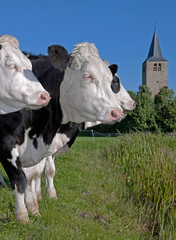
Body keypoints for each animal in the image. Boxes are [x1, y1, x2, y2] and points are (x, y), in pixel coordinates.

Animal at [0, 41, 133, 223]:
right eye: (88, 76)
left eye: (109, 79)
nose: (118, 111)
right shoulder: (7, 144)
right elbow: (22, 179)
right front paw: (23, 216)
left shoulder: (39, 146)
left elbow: (34, 175)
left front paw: (34, 206)